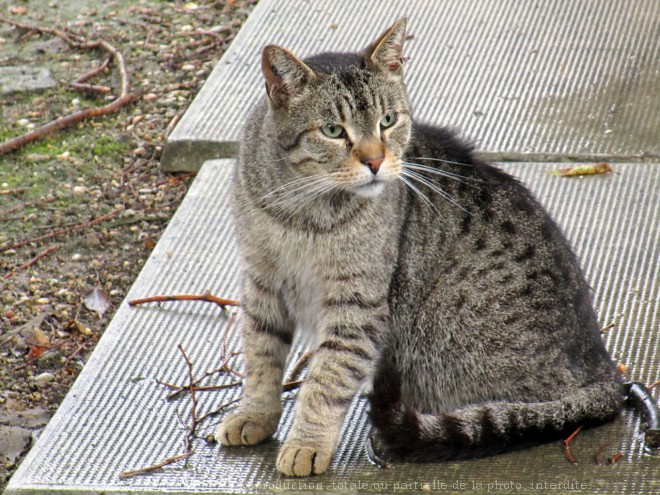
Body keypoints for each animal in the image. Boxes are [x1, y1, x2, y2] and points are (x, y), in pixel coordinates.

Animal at [218, 18, 624, 476]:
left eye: (388, 120)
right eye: (333, 131)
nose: (375, 161)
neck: (304, 211)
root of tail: (603, 370)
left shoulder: (358, 303)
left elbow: (329, 377)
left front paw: (307, 442)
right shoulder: (261, 281)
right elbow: (261, 357)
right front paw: (254, 414)